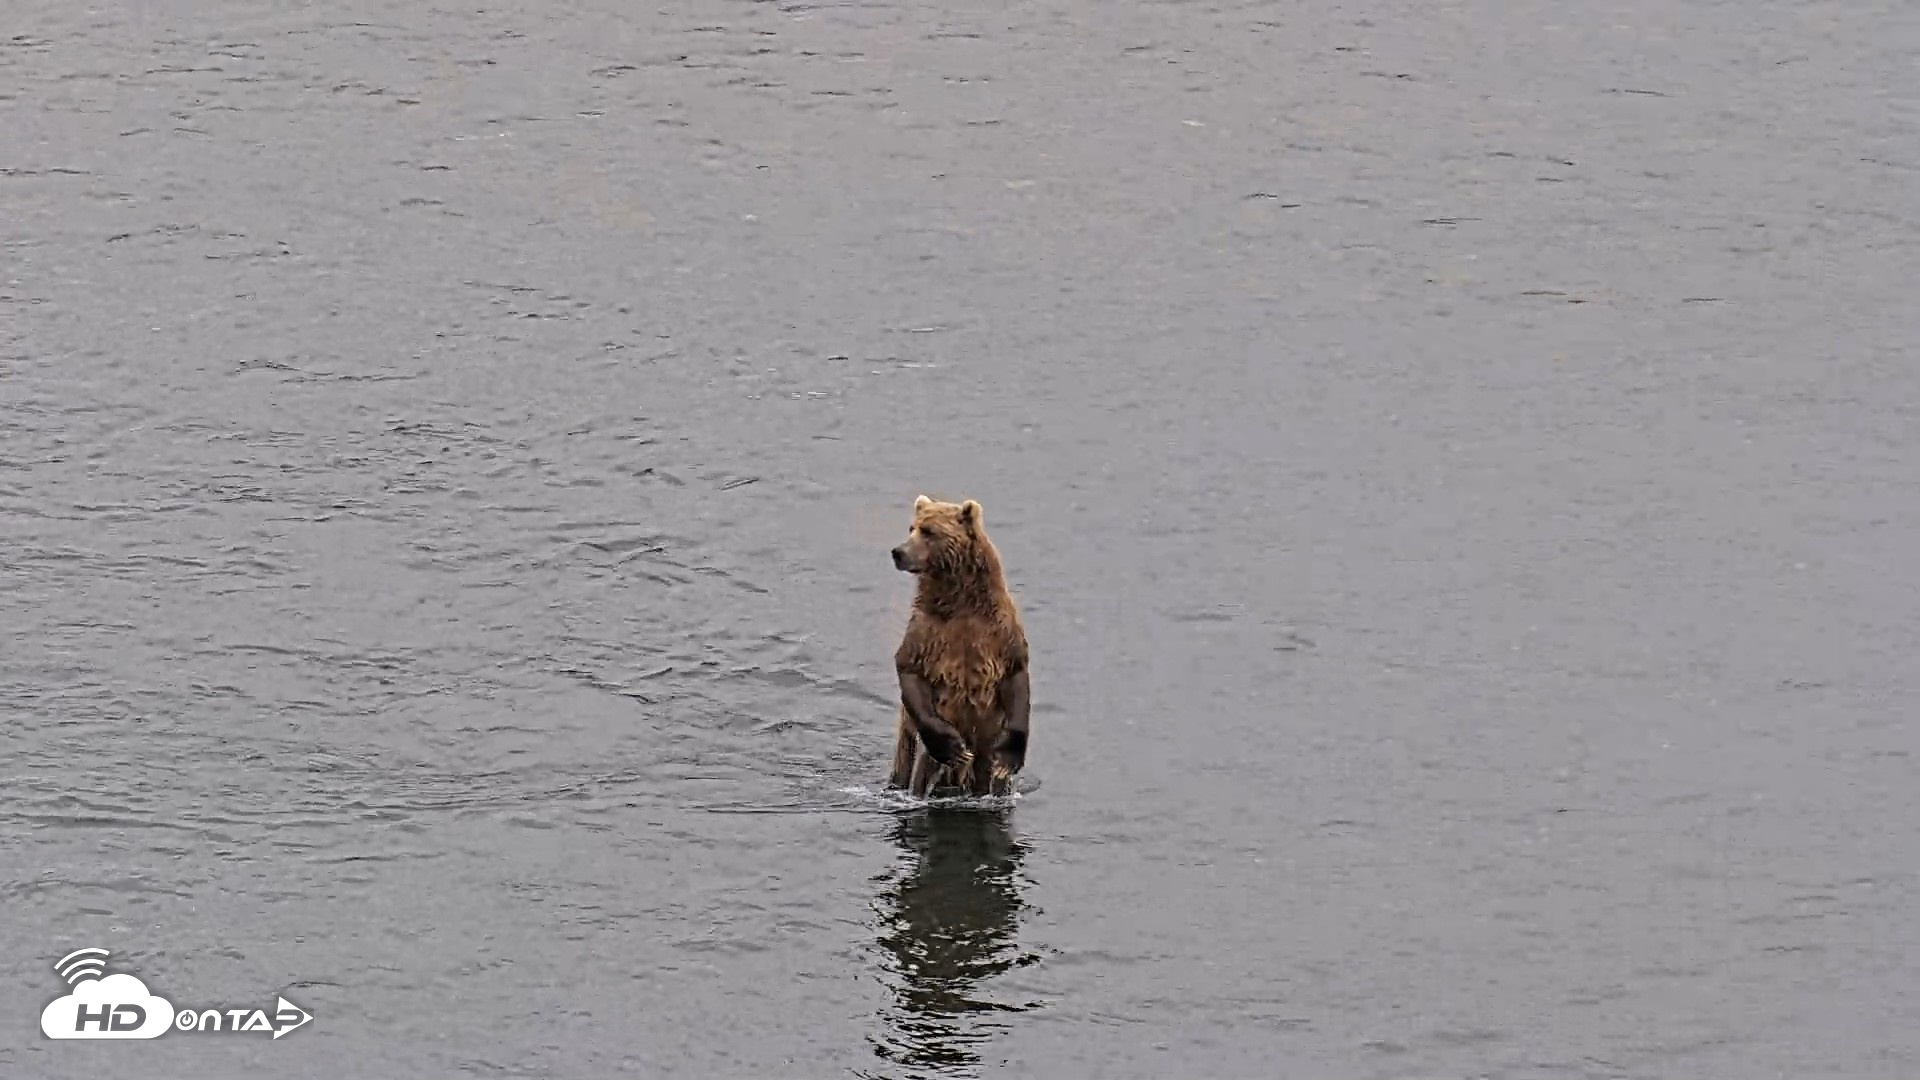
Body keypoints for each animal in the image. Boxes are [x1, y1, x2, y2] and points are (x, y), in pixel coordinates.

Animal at [885, 494, 1031, 797]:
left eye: (929, 531)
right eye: (912, 528)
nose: (898, 552)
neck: (960, 601)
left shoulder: (1000, 632)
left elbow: (1016, 674)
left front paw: (1008, 758)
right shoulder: (927, 633)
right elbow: (910, 669)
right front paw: (953, 748)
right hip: (910, 751)